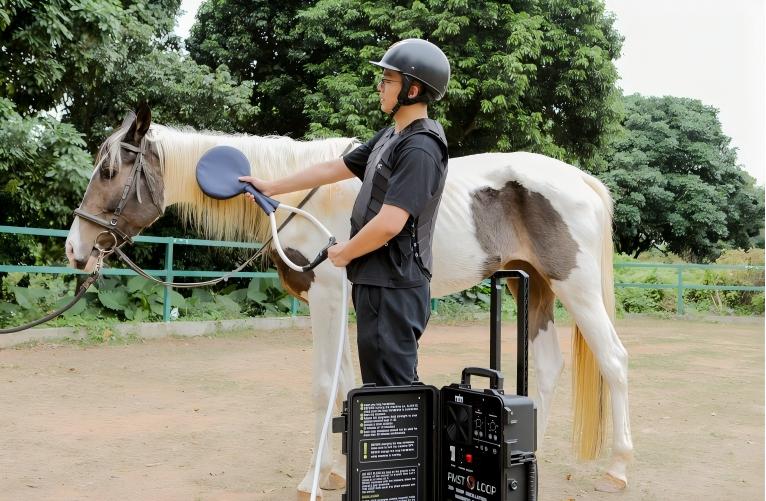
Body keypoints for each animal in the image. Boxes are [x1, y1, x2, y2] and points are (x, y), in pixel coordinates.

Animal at [65, 105, 633, 498]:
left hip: (576, 287)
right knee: (550, 364)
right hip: (532, 287)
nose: (75, 250)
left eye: (110, 172)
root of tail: (580, 180)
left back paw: (618, 470)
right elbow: (341, 383)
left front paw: (310, 479)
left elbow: (323, 387)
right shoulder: (340, 303)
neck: (300, 201)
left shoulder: (328, 296)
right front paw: (334, 471)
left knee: (614, 361)